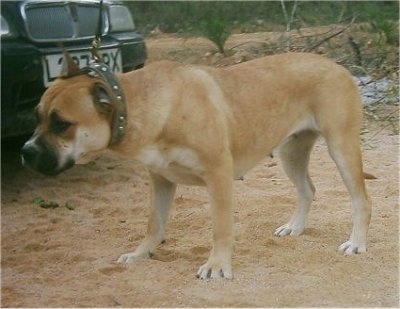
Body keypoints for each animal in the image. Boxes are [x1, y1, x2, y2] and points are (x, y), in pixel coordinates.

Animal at [21, 52, 372, 280]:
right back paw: (295, 226)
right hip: (292, 153)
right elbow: (154, 224)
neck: (140, 105)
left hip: (341, 148)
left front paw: (217, 265)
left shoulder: (218, 175)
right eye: (37, 117)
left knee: (361, 200)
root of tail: (337, 65)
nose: (25, 152)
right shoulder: (160, 180)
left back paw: (357, 242)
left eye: (61, 124)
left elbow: (220, 228)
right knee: (307, 190)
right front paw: (141, 254)